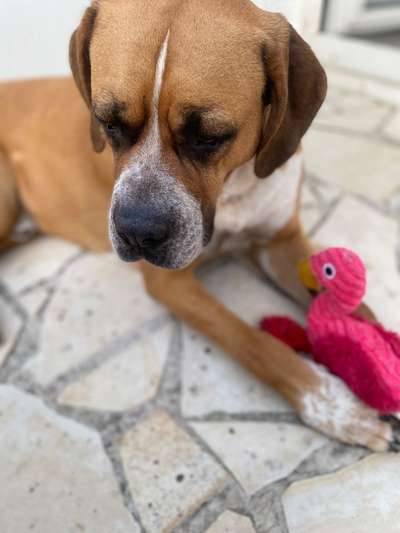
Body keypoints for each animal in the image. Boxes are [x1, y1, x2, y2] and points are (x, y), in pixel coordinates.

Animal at [0, 0, 396, 450]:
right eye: (108, 123)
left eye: (209, 137)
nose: (137, 231)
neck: (232, 188)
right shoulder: (172, 282)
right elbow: (254, 342)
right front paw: (335, 406)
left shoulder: (281, 243)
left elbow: (359, 310)